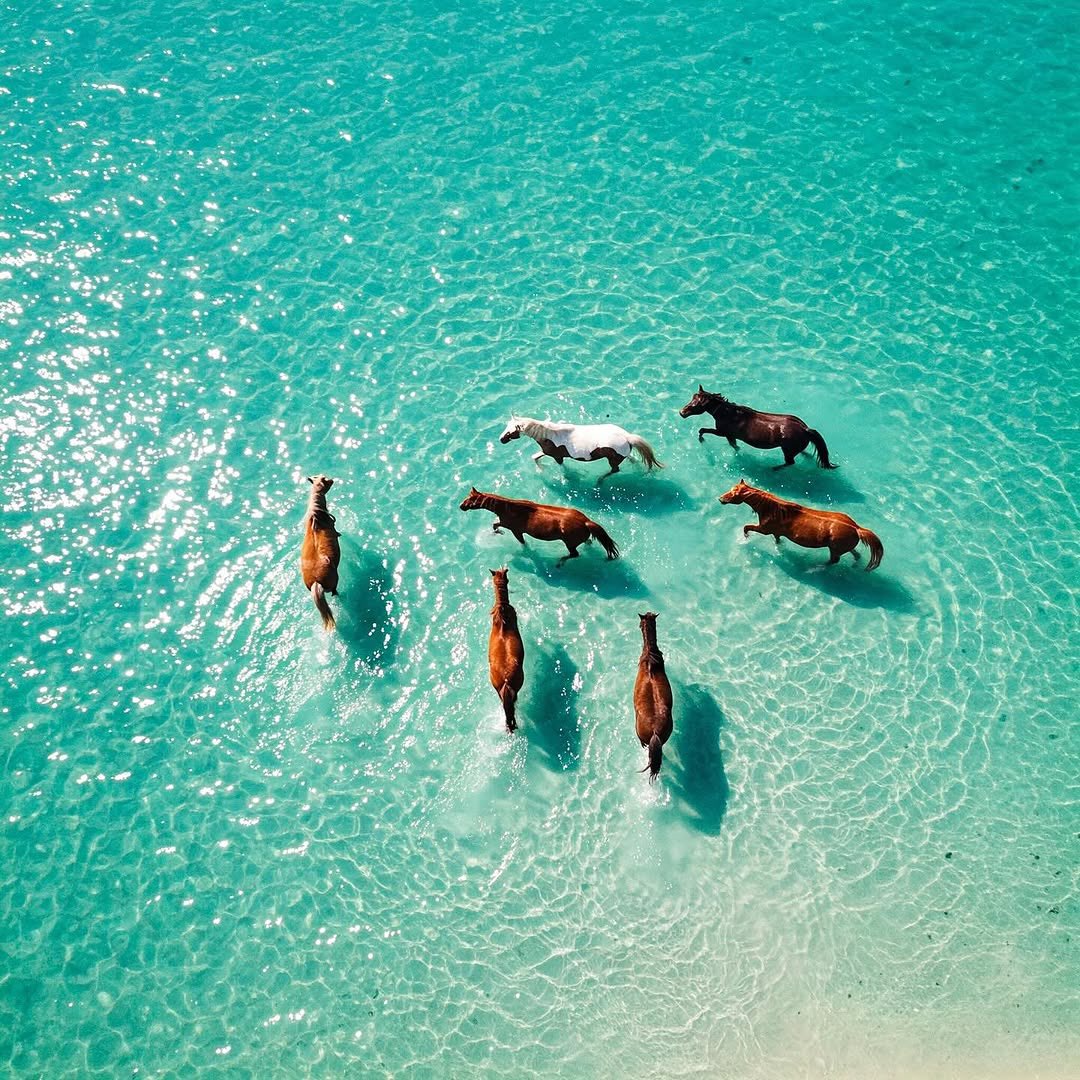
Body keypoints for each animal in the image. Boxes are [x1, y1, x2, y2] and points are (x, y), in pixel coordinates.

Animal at [300, 475, 342, 630]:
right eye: (325, 479)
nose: (332, 479)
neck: (317, 514)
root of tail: (315, 582)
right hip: (334, 582)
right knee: (335, 591)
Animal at [459, 488, 620, 564]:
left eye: (470, 499)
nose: (461, 506)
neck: (509, 508)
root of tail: (586, 521)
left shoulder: (515, 530)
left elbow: (519, 540)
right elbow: (495, 524)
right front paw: (497, 532)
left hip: (569, 543)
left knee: (574, 554)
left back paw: (560, 562)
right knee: (588, 541)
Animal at [499, 415, 662, 480]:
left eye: (510, 431)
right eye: (506, 426)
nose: (501, 439)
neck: (550, 435)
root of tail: (627, 437)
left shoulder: (556, 456)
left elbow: (561, 467)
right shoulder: (547, 453)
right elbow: (534, 457)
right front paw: (541, 469)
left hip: (613, 460)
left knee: (615, 470)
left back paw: (599, 480)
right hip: (621, 455)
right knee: (631, 459)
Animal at [679, 386, 837, 469]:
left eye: (696, 404)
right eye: (692, 398)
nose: (681, 412)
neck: (728, 414)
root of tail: (805, 429)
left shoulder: (723, 432)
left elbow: (704, 431)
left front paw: (701, 438)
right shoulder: (730, 435)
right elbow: (734, 445)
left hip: (787, 451)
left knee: (790, 462)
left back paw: (774, 468)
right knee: (800, 454)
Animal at [719, 480, 883, 569]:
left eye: (734, 493)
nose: (720, 499)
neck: (772, 508)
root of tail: (857, 528)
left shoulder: (764, 529)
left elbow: (747, 527)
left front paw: (745, 537)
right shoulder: (776, 532)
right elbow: (778, 541)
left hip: (834, 550)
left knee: (833, 561)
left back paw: (816, 567)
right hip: (841, 547)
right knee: (855, 553)